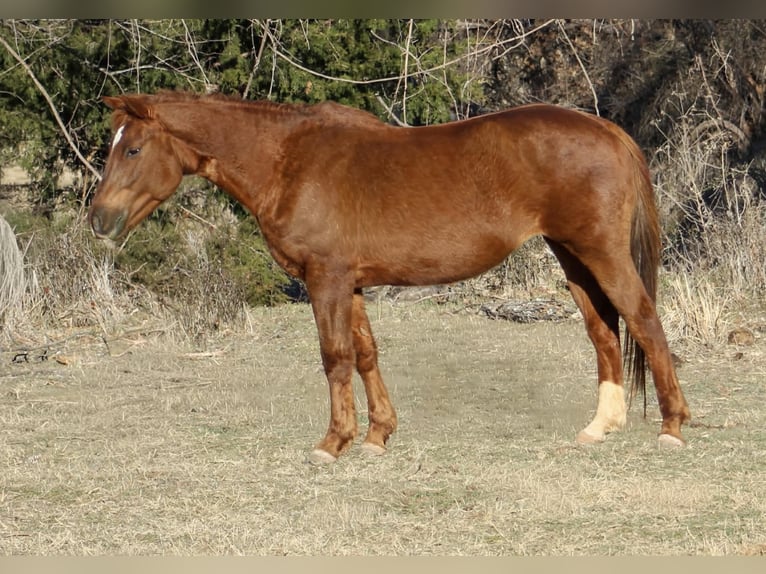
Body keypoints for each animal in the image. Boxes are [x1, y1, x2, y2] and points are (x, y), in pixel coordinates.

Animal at [88, 91, 691, 464]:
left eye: (133, 148)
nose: (97, 219)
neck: (289, 161)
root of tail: (607, 129)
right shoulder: (349, 282)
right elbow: (366, 354)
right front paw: (377, 435)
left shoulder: (326, 279)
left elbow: (335, 357)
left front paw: (333, 443)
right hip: (572, 256)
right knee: (604, 331)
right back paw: (601, 426)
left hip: (602, 253)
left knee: (645, 321)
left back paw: (673, 427)